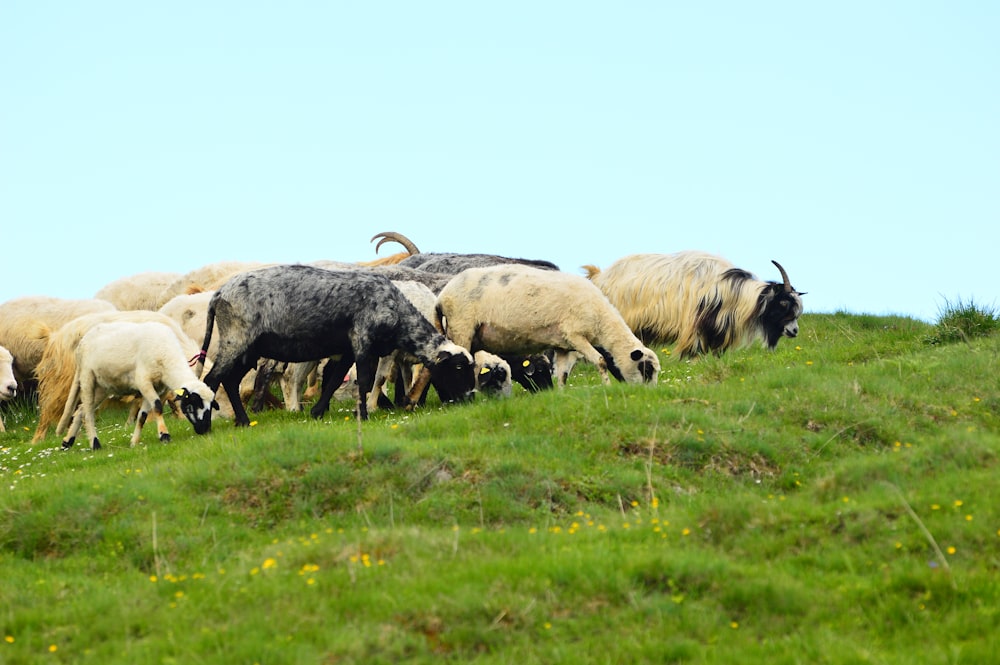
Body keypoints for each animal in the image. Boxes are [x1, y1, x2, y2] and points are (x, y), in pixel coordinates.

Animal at [197, 262, 478, 422]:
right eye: (458, 368)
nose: (470, 398)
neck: (396, 312)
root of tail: (218, 295)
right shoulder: (362, 340)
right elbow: (365, 381)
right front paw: (362, 415)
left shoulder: (348, 350)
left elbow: (333, 381)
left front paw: (317, 413)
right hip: (236, 340)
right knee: (212, 379)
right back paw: (205, 426)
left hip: (249, 349)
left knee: (229, 381)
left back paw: (243, 421)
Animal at [434, 264, 660, 386]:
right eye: (647, 369)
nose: (649, 392)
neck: (601, 321)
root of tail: (442, 297)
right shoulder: (575, 336)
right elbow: (601, 361)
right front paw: (607, 386)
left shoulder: (563, 345)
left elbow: (562, 374)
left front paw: (561, 393)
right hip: (461, 328)